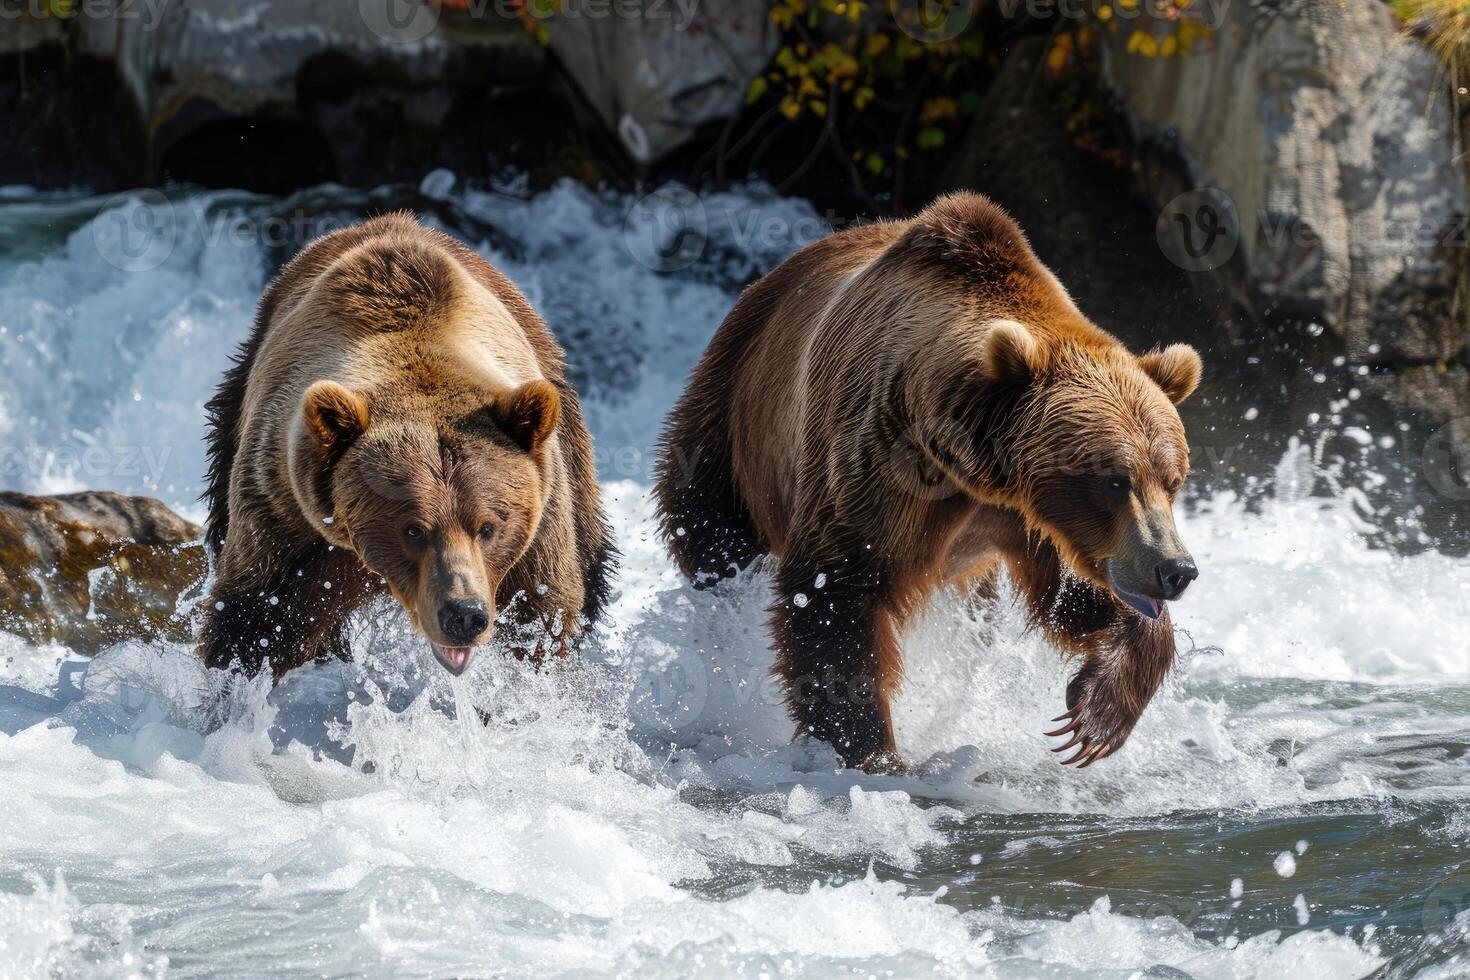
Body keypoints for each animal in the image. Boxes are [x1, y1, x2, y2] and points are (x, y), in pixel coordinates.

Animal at [198, 213, 611, 681]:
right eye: (412, 529)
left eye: (488, 526)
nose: (463, 614)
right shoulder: (285, 514)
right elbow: (258, 617)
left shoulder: (539, 524)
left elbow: (540, 612)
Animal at [658, 193, 1205, 775]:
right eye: (1114, 481)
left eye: (1172, 481)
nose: (1176, 569)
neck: (976, 469)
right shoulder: (880, 469)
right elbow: (833, 594)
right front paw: (869, 750)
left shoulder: (1037, 522)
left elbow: (1078, 594)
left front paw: (1095, 715)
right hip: (729, 421)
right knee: (712, 534)